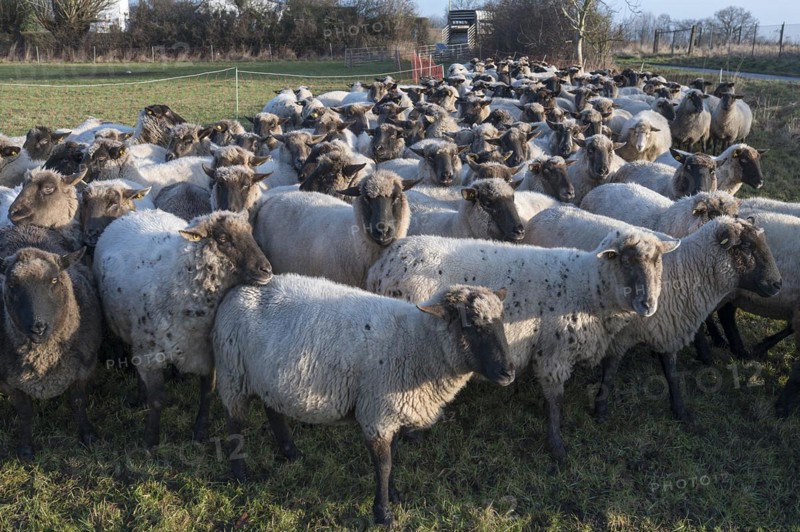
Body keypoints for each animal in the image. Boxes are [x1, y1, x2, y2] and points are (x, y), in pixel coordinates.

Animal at [0, 240, 102, 459]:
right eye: (11, 285)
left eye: (54, 280)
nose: (38, 327)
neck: (44, 358)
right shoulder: (9, 381)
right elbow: (24, 412)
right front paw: (26, 449)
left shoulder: (85, 368)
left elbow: (78, 401)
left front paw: (88, 435)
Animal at [93, 209, 272, 447]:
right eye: (223, 238)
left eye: (250, 232)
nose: (267, 270)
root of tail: (137, 211)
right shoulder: (150, 352)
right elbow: (158, 398)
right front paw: (150, 441)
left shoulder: (206, 353)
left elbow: (207, 392)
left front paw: (200, 432)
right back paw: (141, 397)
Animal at [213, 276, 513, 525]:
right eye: (470, 325)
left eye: (501, 321)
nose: (508, 372)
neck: (418, 344)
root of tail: (239, 289)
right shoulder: (376, 414)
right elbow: (384, 465)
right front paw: (383, 514)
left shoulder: (393, 412)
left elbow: (394, 458)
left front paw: (394, 494)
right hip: (233, 374)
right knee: (234, 424)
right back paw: (241, 475)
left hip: (267, 378)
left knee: (273, 410)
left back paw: (291, 452)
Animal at [367, 228, 679, 459]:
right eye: (625, 261)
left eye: (658, 261)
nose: (648, 304)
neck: (588, 286)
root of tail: (381, 266)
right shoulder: (553, 352)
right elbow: (555, 401)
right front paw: (557, 447)